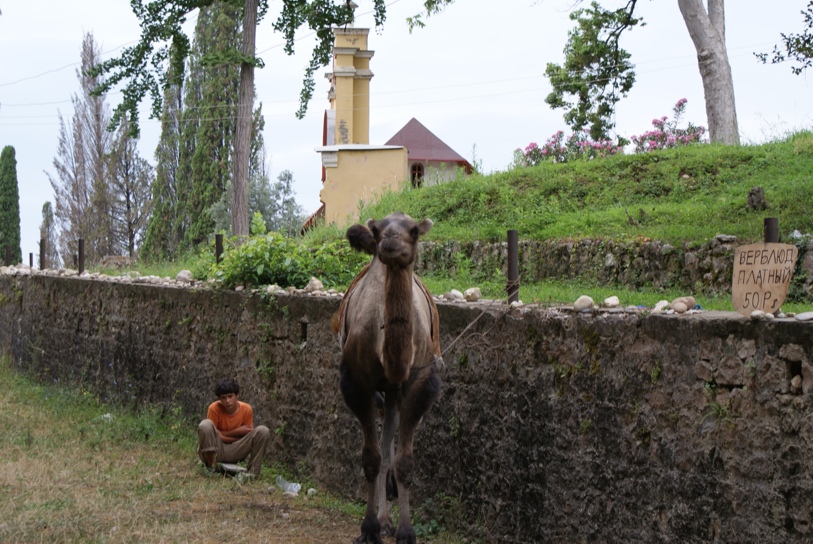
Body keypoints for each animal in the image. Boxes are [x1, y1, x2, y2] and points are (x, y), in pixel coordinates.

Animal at [334, 211, 440, 544]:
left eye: (415, 230)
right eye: (378, 229)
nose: (390, 241)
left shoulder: (420, 380)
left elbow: (404, 462)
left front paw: (406, 531)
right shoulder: (356, 382)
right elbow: (371, 458)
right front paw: (368, 529)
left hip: (394, 391)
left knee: (389, 434)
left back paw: (387, 519)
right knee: (382, 444)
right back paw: (380, 521)